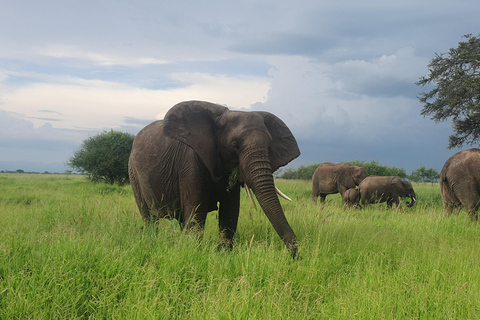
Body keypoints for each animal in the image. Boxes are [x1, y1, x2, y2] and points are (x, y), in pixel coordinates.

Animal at [127, 101, 300, 256]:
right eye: (234, 145)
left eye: (269, 145)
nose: (295, 256)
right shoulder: (190, 161)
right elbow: (196, 211)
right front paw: (194, 254)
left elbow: (230, 211)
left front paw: (223, 255)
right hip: (133, 172)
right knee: (149, 217)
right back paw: (151, 240)